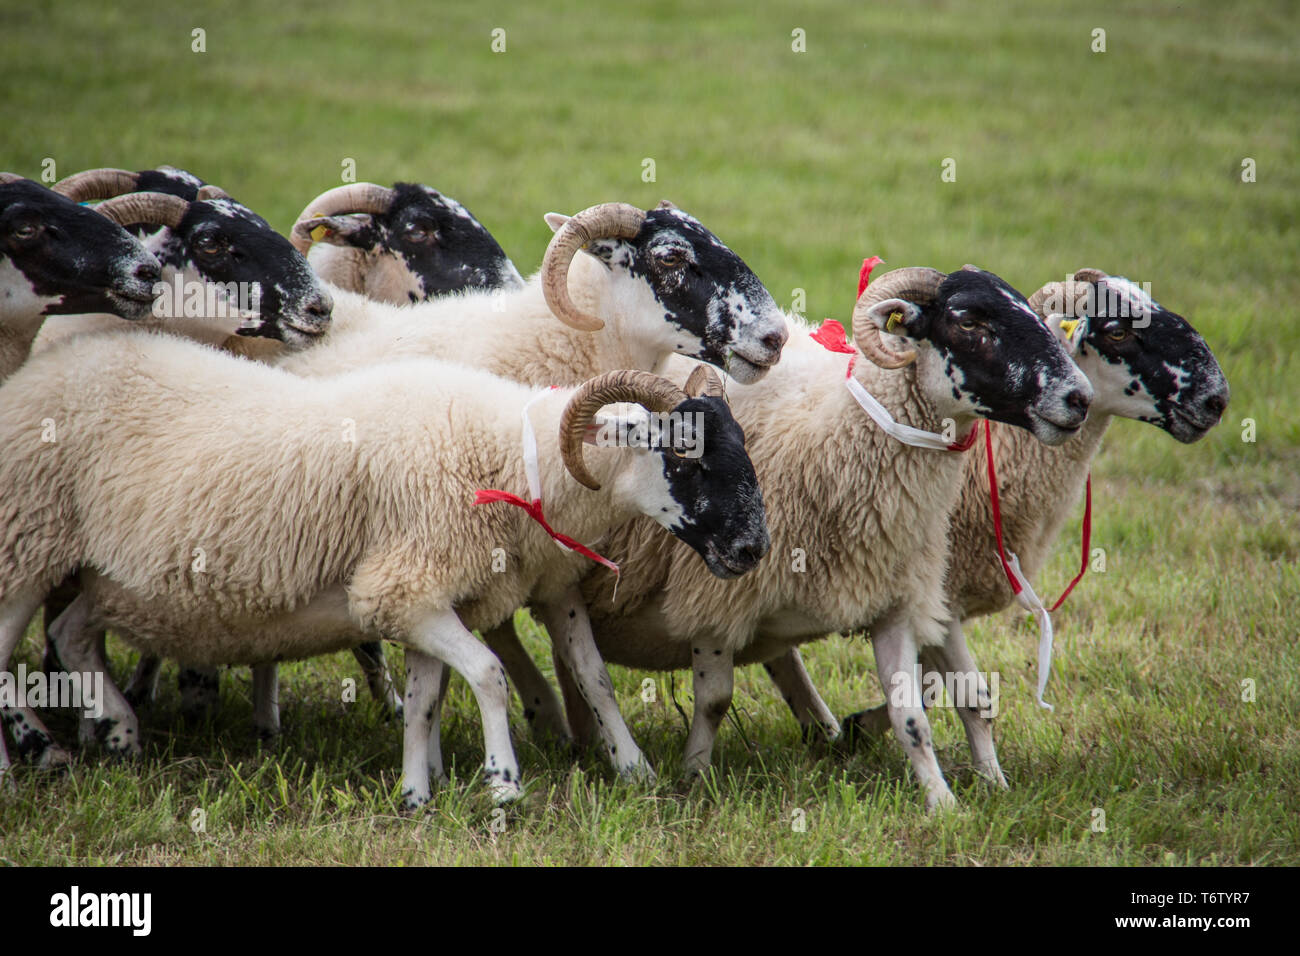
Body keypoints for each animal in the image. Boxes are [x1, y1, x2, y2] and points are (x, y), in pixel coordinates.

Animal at [0, 328, 769, 803]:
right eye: (687, 457)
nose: (753, 550)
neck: (505, 456)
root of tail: (35, 372)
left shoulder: (422, 597)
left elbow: (445, 695)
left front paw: (417, 793)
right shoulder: (402, 588)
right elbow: (488, 675)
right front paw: (502, 784)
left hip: (105, 575)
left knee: (69, 633)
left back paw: (120, 734)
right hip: (28, 535)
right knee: (11, 647)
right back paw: (32, 758)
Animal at [482, 266, 1095, 810]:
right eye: (969, 320)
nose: (1078, 398)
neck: (841, 435)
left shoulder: (893, 599)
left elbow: (912, 716)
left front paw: (944, 803)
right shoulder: (716, 594)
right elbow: (714, 700)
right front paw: (693, 779)